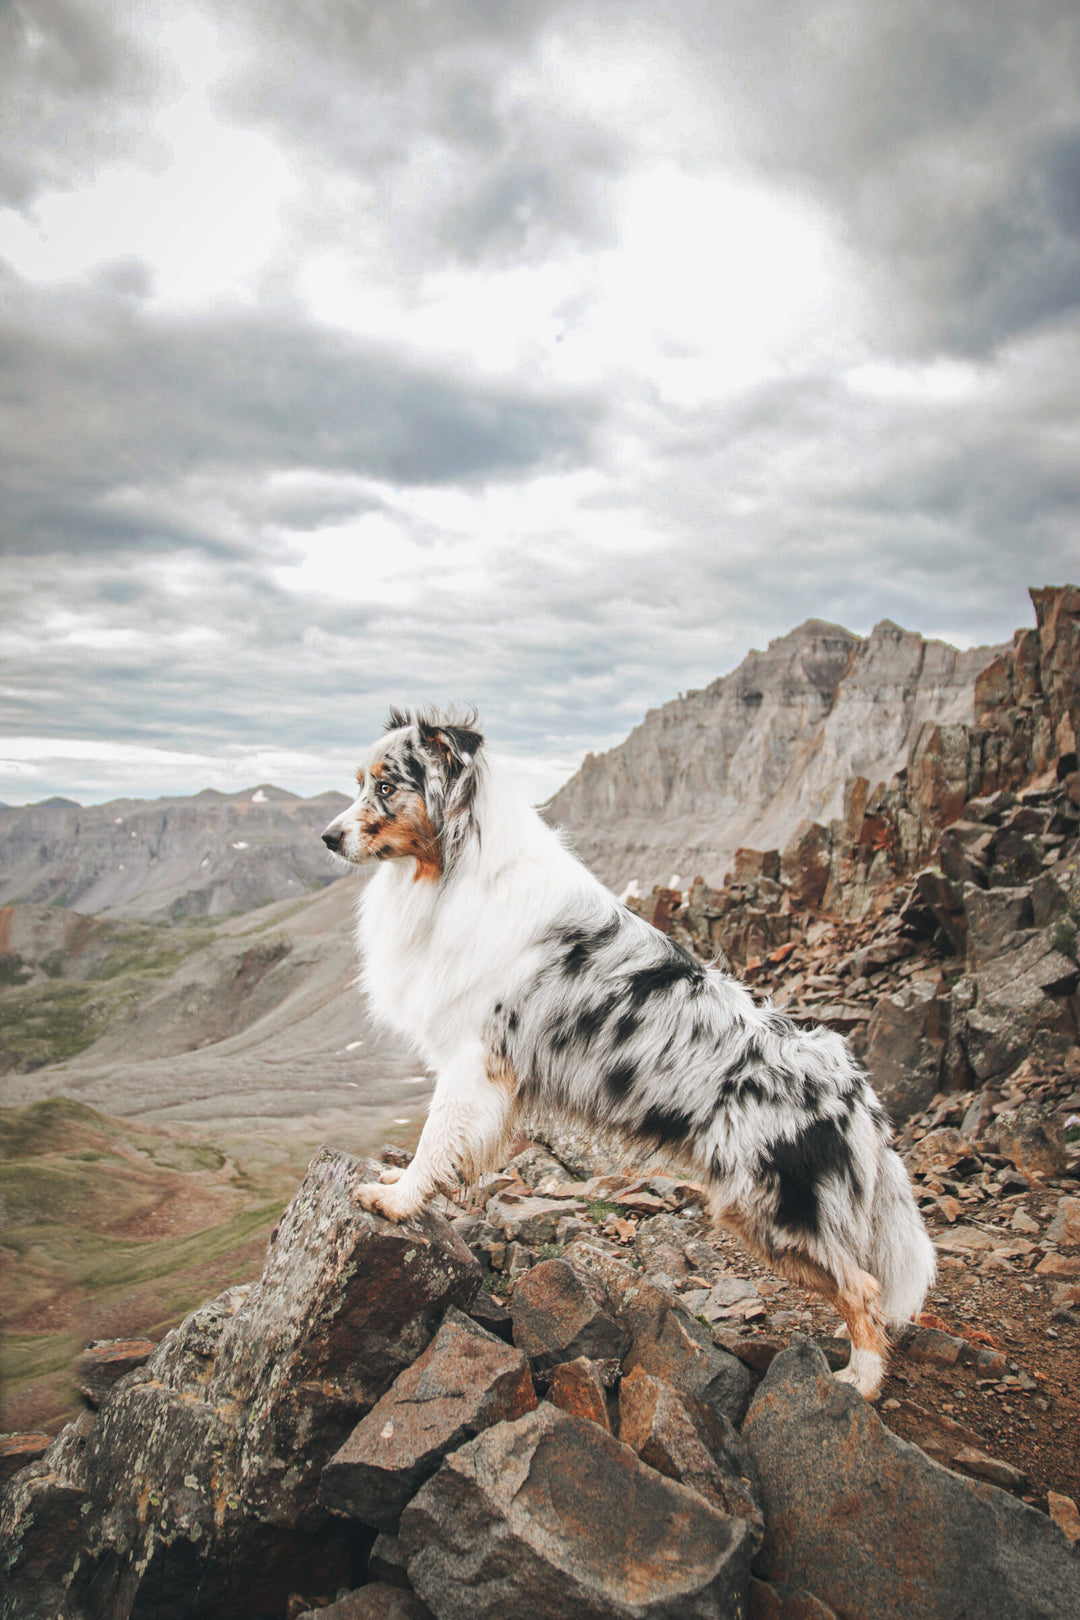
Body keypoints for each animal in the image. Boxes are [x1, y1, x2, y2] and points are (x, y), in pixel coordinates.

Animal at [323, 703, 939, 1399]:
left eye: (384, 786)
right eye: (356, 783)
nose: (327, 837)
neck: (454, 869)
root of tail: (854, 1091)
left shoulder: (474, 1060)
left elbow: (435, 1139)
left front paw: (397, 1200)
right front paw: (401, 1186)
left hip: (772, 1211)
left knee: (863, 1285)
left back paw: (860, 1378)